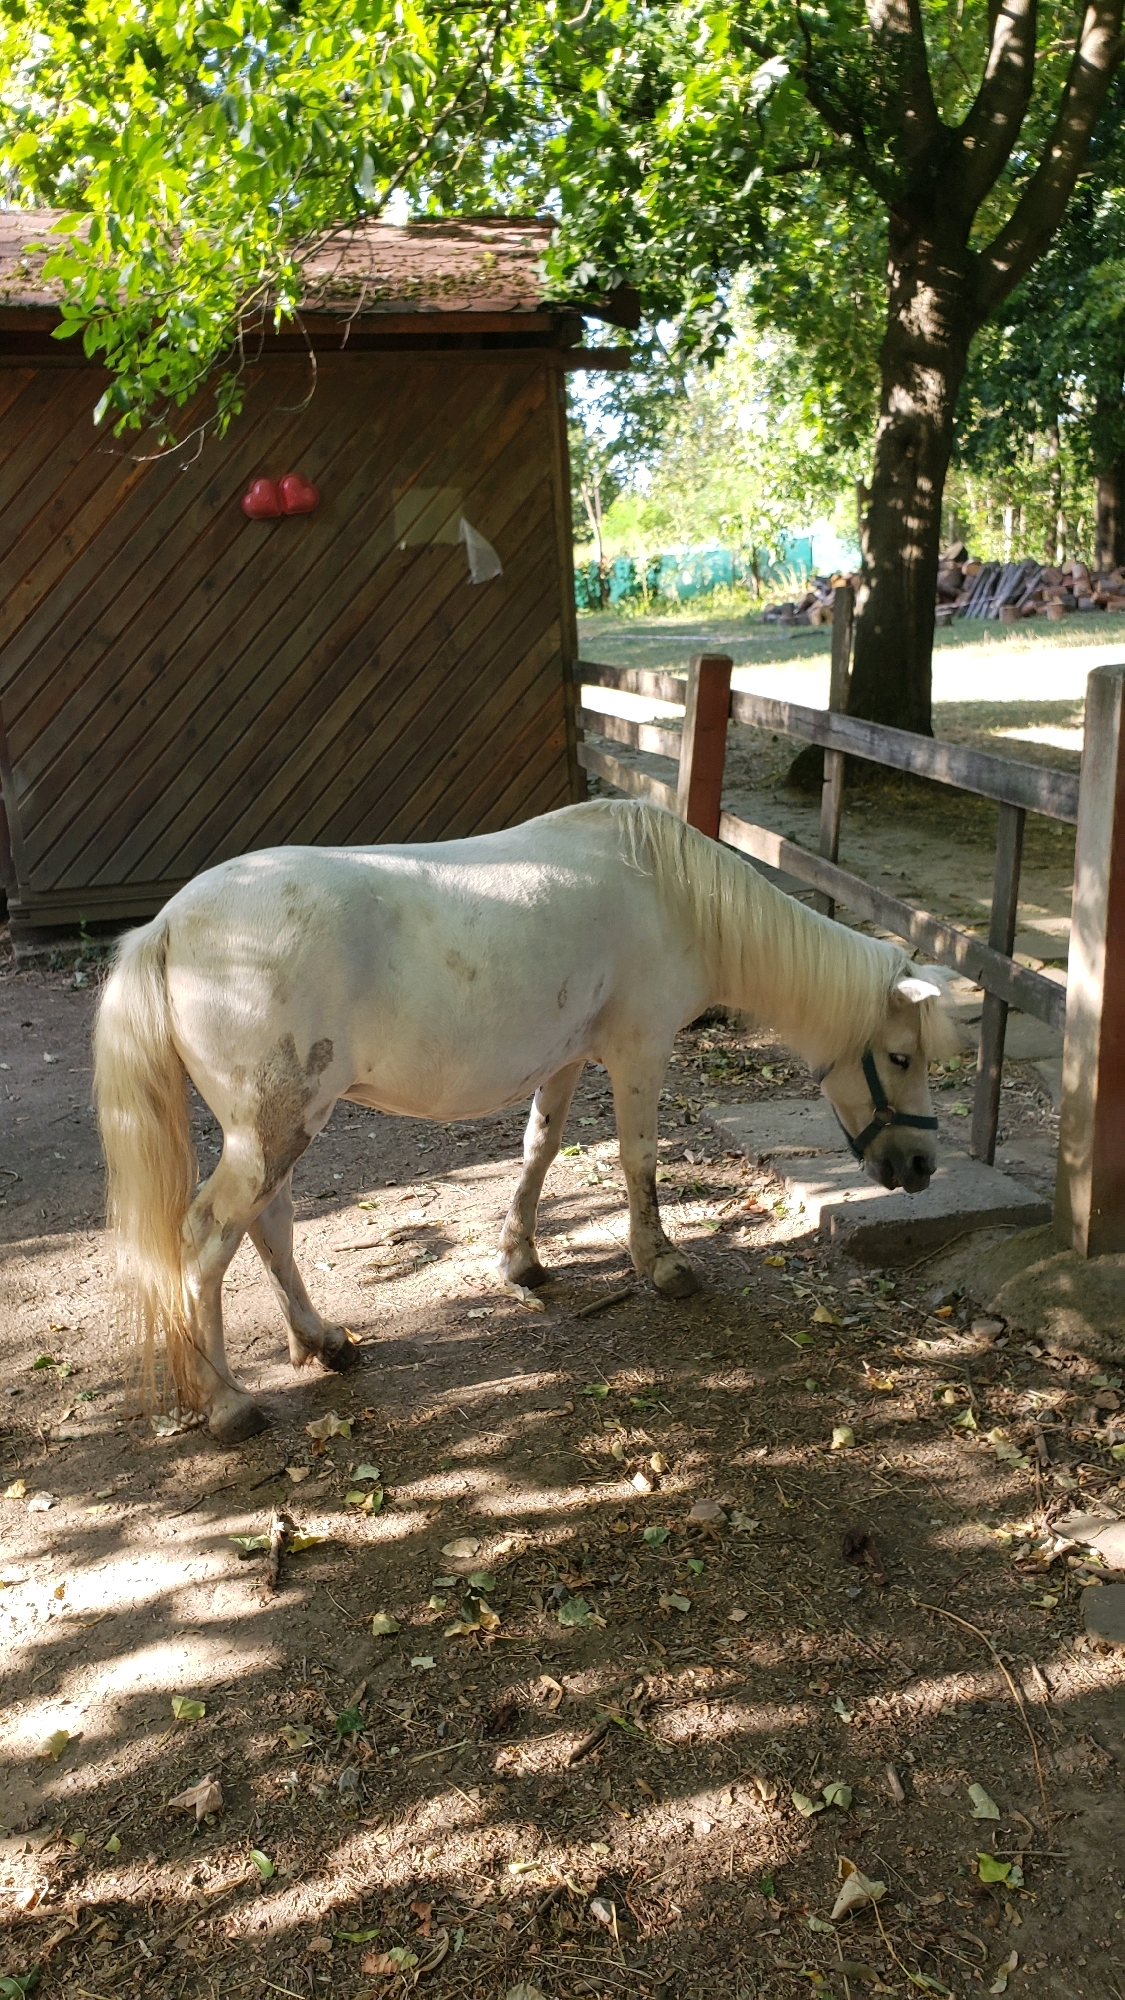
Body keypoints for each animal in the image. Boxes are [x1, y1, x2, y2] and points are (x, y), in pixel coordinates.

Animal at [93, 799, 957, 1444]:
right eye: (902, 1057)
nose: (920, 1169)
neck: (673, 895)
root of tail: (168, 926)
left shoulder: (567, 1058)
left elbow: (539, 1151)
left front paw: (520, 1261)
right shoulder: (638, 1051)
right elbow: (638, 1160)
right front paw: (662, 1264)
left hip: (279, 1128)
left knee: (269, 1225)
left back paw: (322, 1341)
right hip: (275, 1129)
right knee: (207, 1239)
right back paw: (227, 1402)